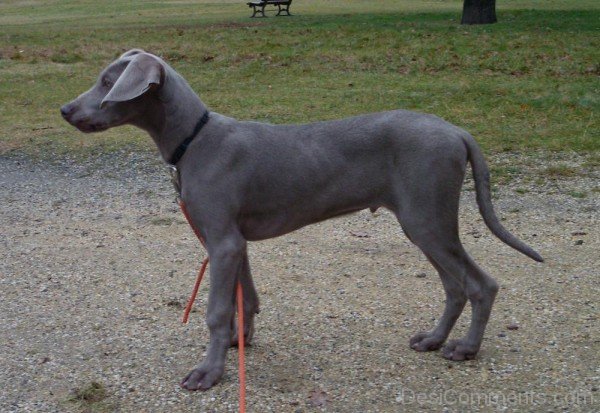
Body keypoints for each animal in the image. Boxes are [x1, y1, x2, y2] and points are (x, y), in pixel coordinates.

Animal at [62, 48, 544, 390]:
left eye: (108, 82)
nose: (65, 110)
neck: (194, 140)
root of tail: (457, 131)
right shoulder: (234, 241)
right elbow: (245, 298)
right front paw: (240, 343)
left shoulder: (222, 242)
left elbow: (217, 310)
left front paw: (209, 372)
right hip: (425, 223)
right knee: (455, 286)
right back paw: (433, 339)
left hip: (427, 218)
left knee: (481, 284)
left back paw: (465, 349)